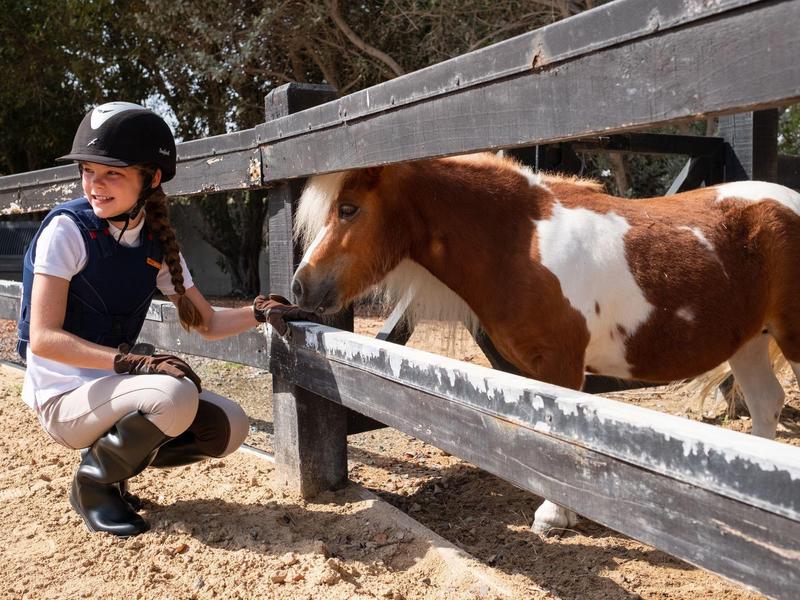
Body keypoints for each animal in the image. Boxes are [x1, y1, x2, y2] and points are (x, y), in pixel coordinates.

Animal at [291, 151, 800, 534]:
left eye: (349, 208)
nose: (299, 287)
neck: (521, 244)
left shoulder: (561, 366)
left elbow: (559, 434)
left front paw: (554, 515)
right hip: (749, 342)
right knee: (766, 406)